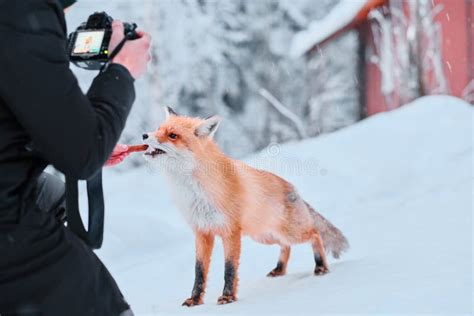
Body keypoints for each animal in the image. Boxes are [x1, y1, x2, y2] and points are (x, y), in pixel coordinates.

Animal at [142, 107, 348, 306]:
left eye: (173, 135)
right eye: (158, 129)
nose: (144, 135)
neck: (196, 192)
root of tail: (292, 188)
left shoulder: (230, 231)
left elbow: (230, 269)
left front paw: (228, 297)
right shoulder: (202, 232)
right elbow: (199, 271)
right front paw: (195, 300)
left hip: (289, 232)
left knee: (315, 234)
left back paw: (321, 266)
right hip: (265, 236)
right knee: (286, 246)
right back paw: (279, 269)